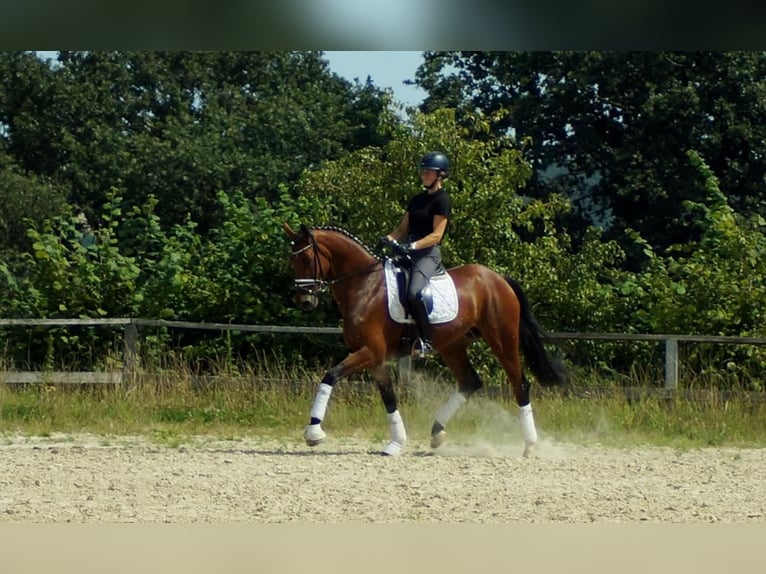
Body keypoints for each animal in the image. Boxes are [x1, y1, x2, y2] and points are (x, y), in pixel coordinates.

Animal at [284, 223, 568, 456]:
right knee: (470, 382)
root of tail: (498, 279)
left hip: (502, 339)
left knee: (519, 384)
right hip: (453, 345)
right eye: (292, 260)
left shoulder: (371, 352)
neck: (364, 286)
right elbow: (389, 399)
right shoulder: (375, 359)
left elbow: (330, 376)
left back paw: (530, 445)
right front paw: (396, 443)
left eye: (307, 258)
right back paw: (437, 433)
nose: (304, 301)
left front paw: (314, 432)